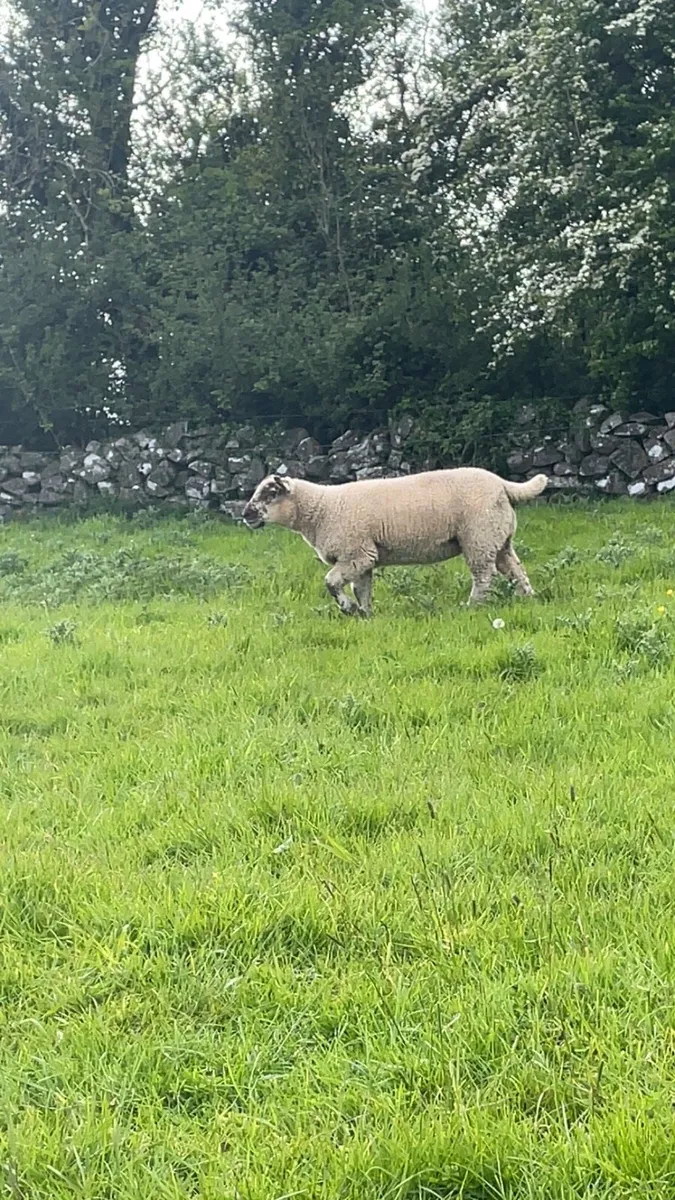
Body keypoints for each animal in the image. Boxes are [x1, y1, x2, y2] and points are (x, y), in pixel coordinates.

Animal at [242, 467, 548, 616]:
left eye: (270, 493)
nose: (245, 515)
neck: (320, 509)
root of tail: (502, 484)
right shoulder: (363, 556)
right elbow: (362, 589)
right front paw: (364, 613)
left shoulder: (355, 553)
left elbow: (331, 583)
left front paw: (348, 608)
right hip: (499, 537)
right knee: (515, 569)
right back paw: (527, 598)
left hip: (478, 538)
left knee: (484, 575)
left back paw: (473, 606)